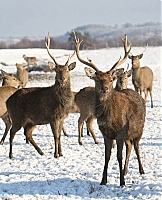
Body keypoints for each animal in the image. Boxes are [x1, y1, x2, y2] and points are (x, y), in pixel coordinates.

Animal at [73, 31, 146, 186]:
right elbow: (107, 157)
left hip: (139, 129)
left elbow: (118, 156)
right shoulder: (106, 134)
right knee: (130, 146)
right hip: (128, 135)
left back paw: (141, 170)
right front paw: (103, 180)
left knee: (136, 146)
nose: (105, 88)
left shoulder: (120, 132)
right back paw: (125, 171)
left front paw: (122, 182)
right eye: (97, 79)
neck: (109, 117)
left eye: (111, 79)